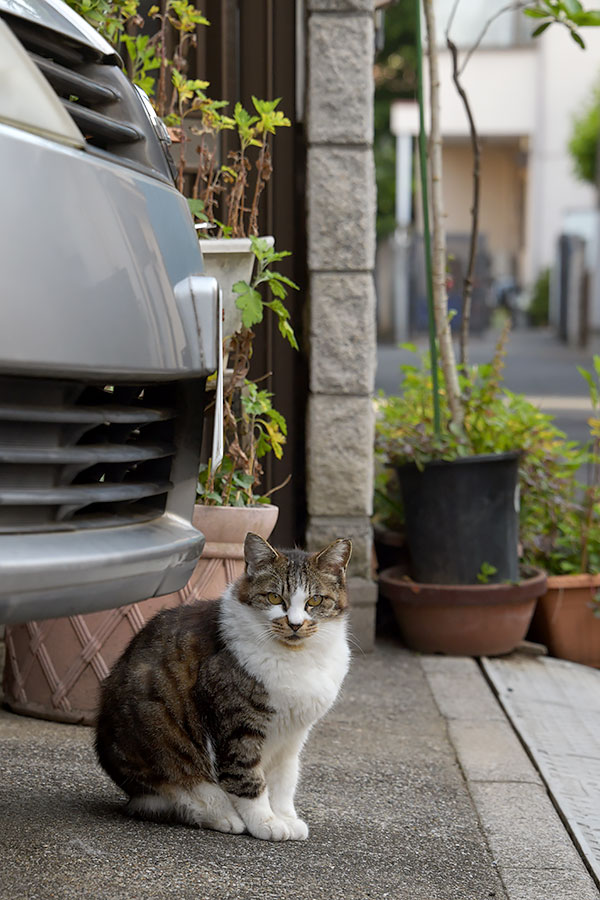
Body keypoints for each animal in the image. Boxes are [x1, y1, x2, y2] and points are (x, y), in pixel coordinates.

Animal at [95, 532, 352, 840]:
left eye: (314, 600)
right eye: (274, 597)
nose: (295, 624)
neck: (296, 657)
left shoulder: (293, 735)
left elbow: (285, 780)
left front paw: (286, 817)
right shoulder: (238, 724)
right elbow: (247, 776)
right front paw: (266, 822)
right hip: (158, 736)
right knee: (182, 793)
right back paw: (224, 816)